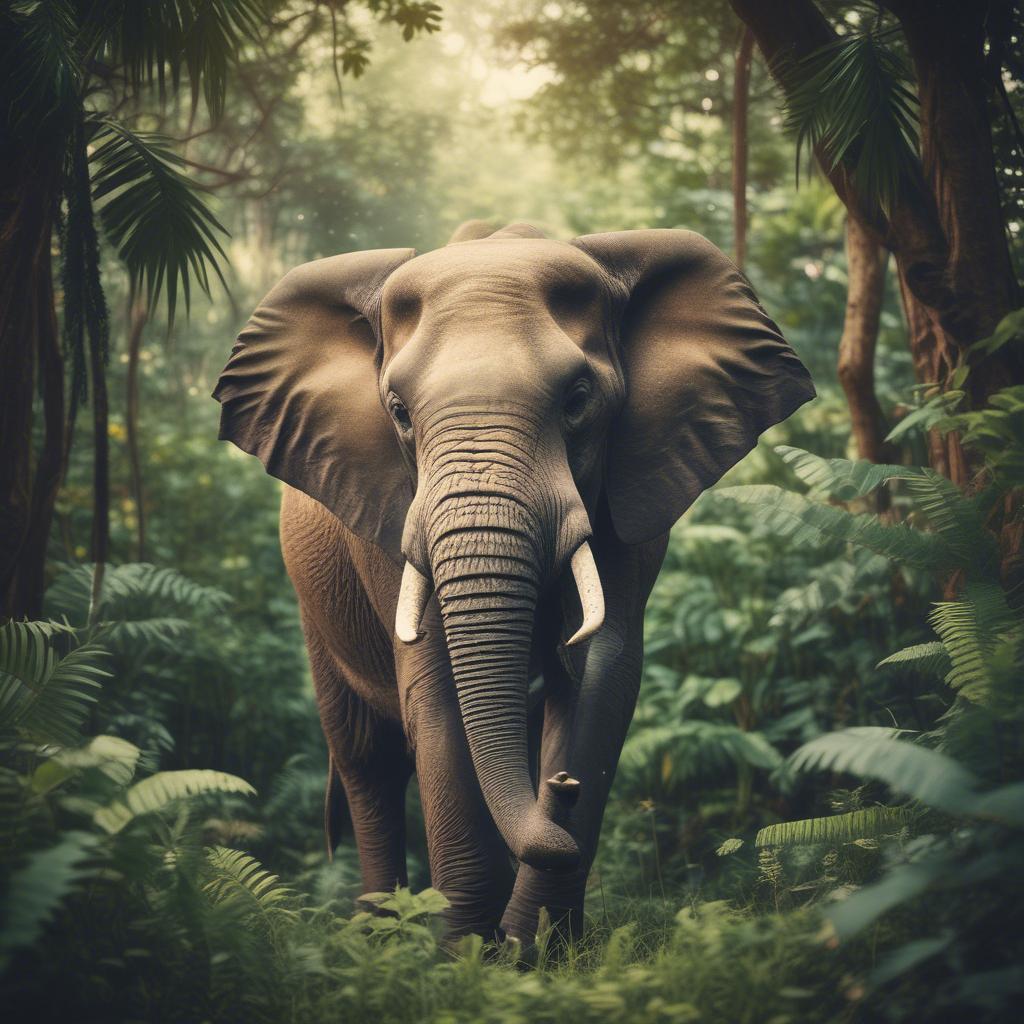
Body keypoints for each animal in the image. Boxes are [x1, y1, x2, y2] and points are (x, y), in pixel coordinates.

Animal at [213, 220, 815, 943]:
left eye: (578, 401)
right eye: (399, 412)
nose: (563, 788)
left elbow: (600, 674)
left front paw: (539, 949)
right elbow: (433, 685)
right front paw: (467, 950)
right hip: (316, 603)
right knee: (368, 756)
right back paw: (381, 934)